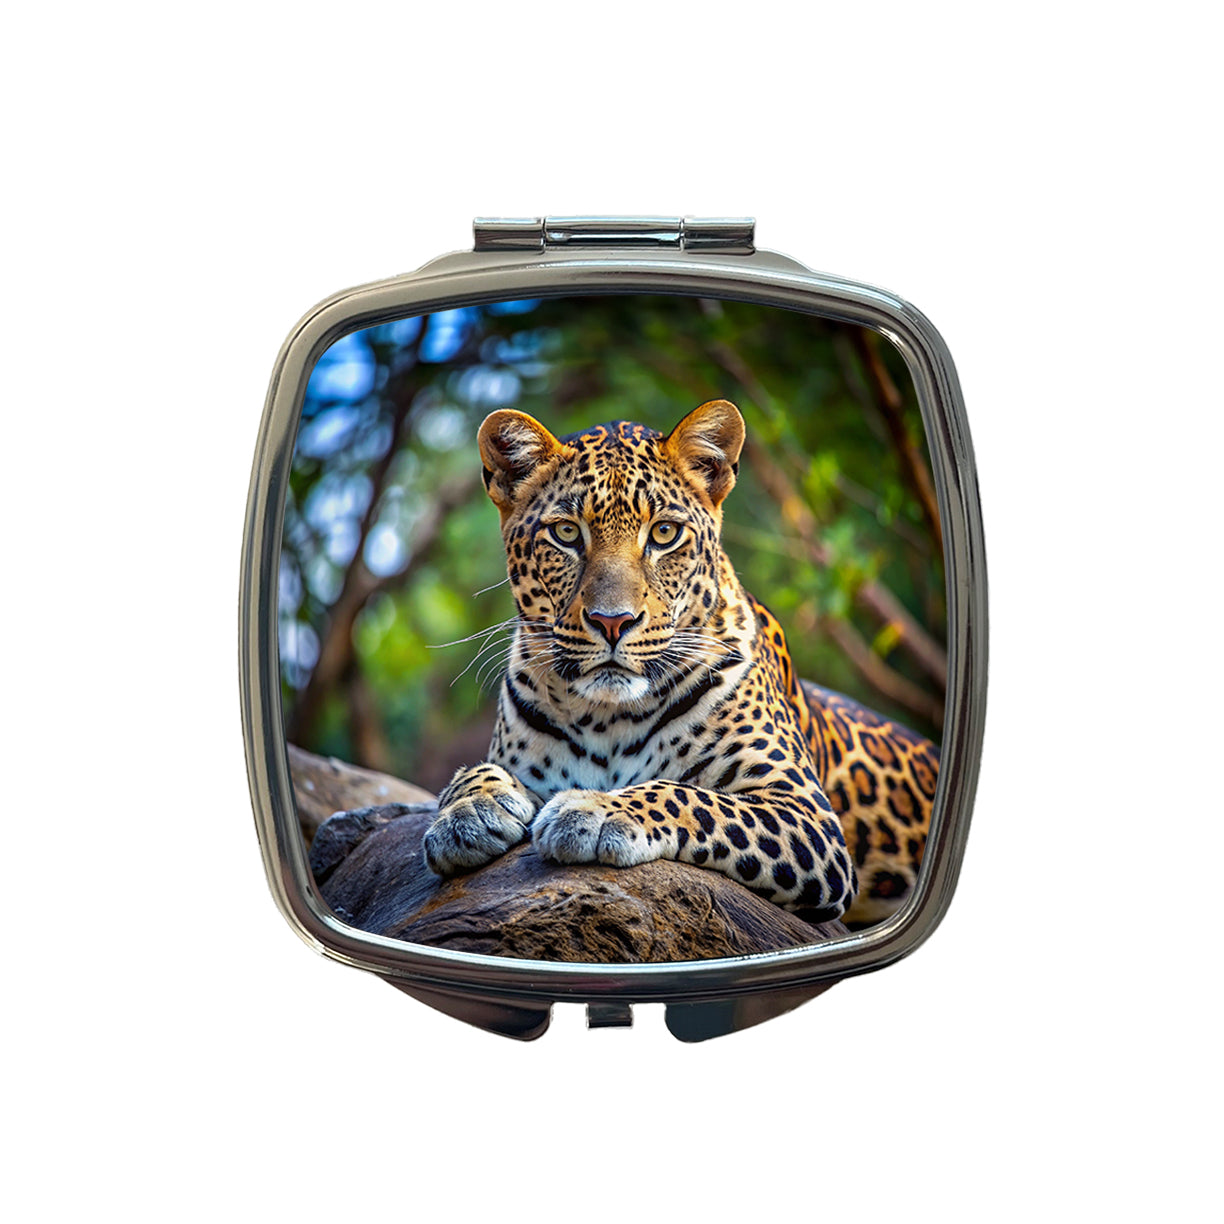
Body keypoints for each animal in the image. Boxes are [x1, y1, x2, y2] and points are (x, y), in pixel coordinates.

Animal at [421, 399, 941, 927]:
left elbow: (691, 796)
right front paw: (467, 813)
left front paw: (598, 809)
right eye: (566, 533)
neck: (605, 716)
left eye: (665, 533)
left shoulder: (806, 816)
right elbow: (471, 771)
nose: (613, 621)